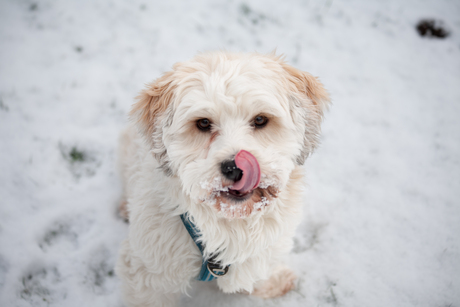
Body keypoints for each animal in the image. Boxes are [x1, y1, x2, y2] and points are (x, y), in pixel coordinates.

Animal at [115, 51, 330, 306]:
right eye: (203, 123)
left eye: (260, 120)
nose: (235, 168)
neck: (230, 222)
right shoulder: (149, 270)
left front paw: (272, 282)